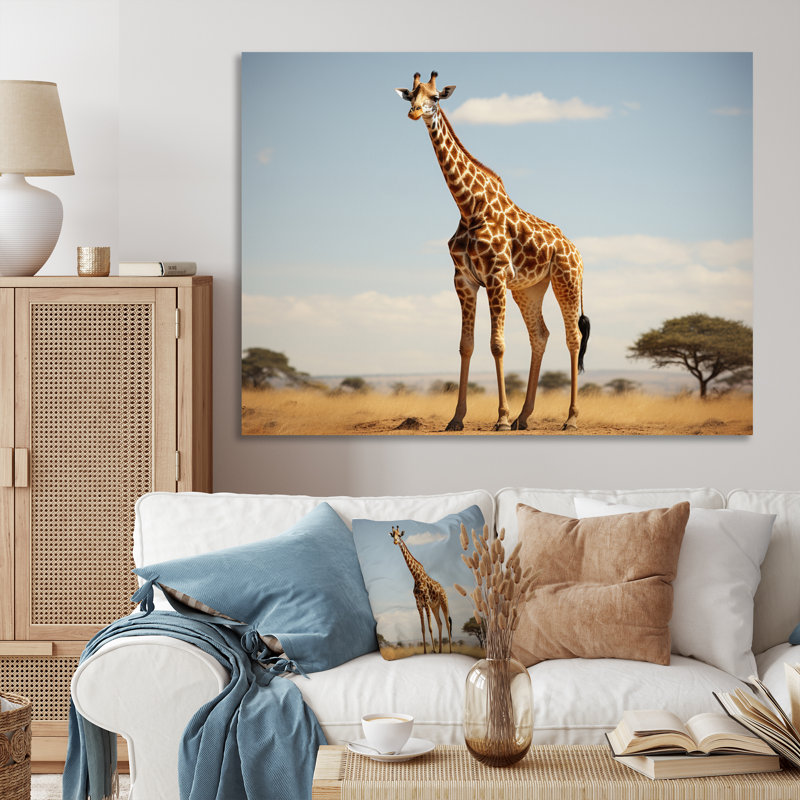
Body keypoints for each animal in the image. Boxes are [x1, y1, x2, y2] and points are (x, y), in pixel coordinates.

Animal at [389, 525, 452, 654]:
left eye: (400, 535)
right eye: (393, 535)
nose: (395, 542)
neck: (416, 576)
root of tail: (443, 589)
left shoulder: (426, 602)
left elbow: (430, 627)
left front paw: (433, 650)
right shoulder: (419, 604)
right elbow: (423, 628)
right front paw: (425, 651)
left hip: (444, 602)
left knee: (447, 623)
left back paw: (449, 650)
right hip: (435, 606)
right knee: (440, 623)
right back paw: (440, 650)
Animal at [395, 71, 591, 432]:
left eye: (435, 98)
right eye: (412, 95)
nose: (415, 113)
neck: (469, 207)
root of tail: (576, 250)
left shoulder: (496, 276)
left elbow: (497, 345)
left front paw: (500, 417)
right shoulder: (464, 279)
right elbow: (466, 345)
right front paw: (457, 418)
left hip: (566, 280)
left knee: (572, 337)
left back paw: (570, 418)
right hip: (529, 288)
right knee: (540, 335)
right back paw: (524, 418)